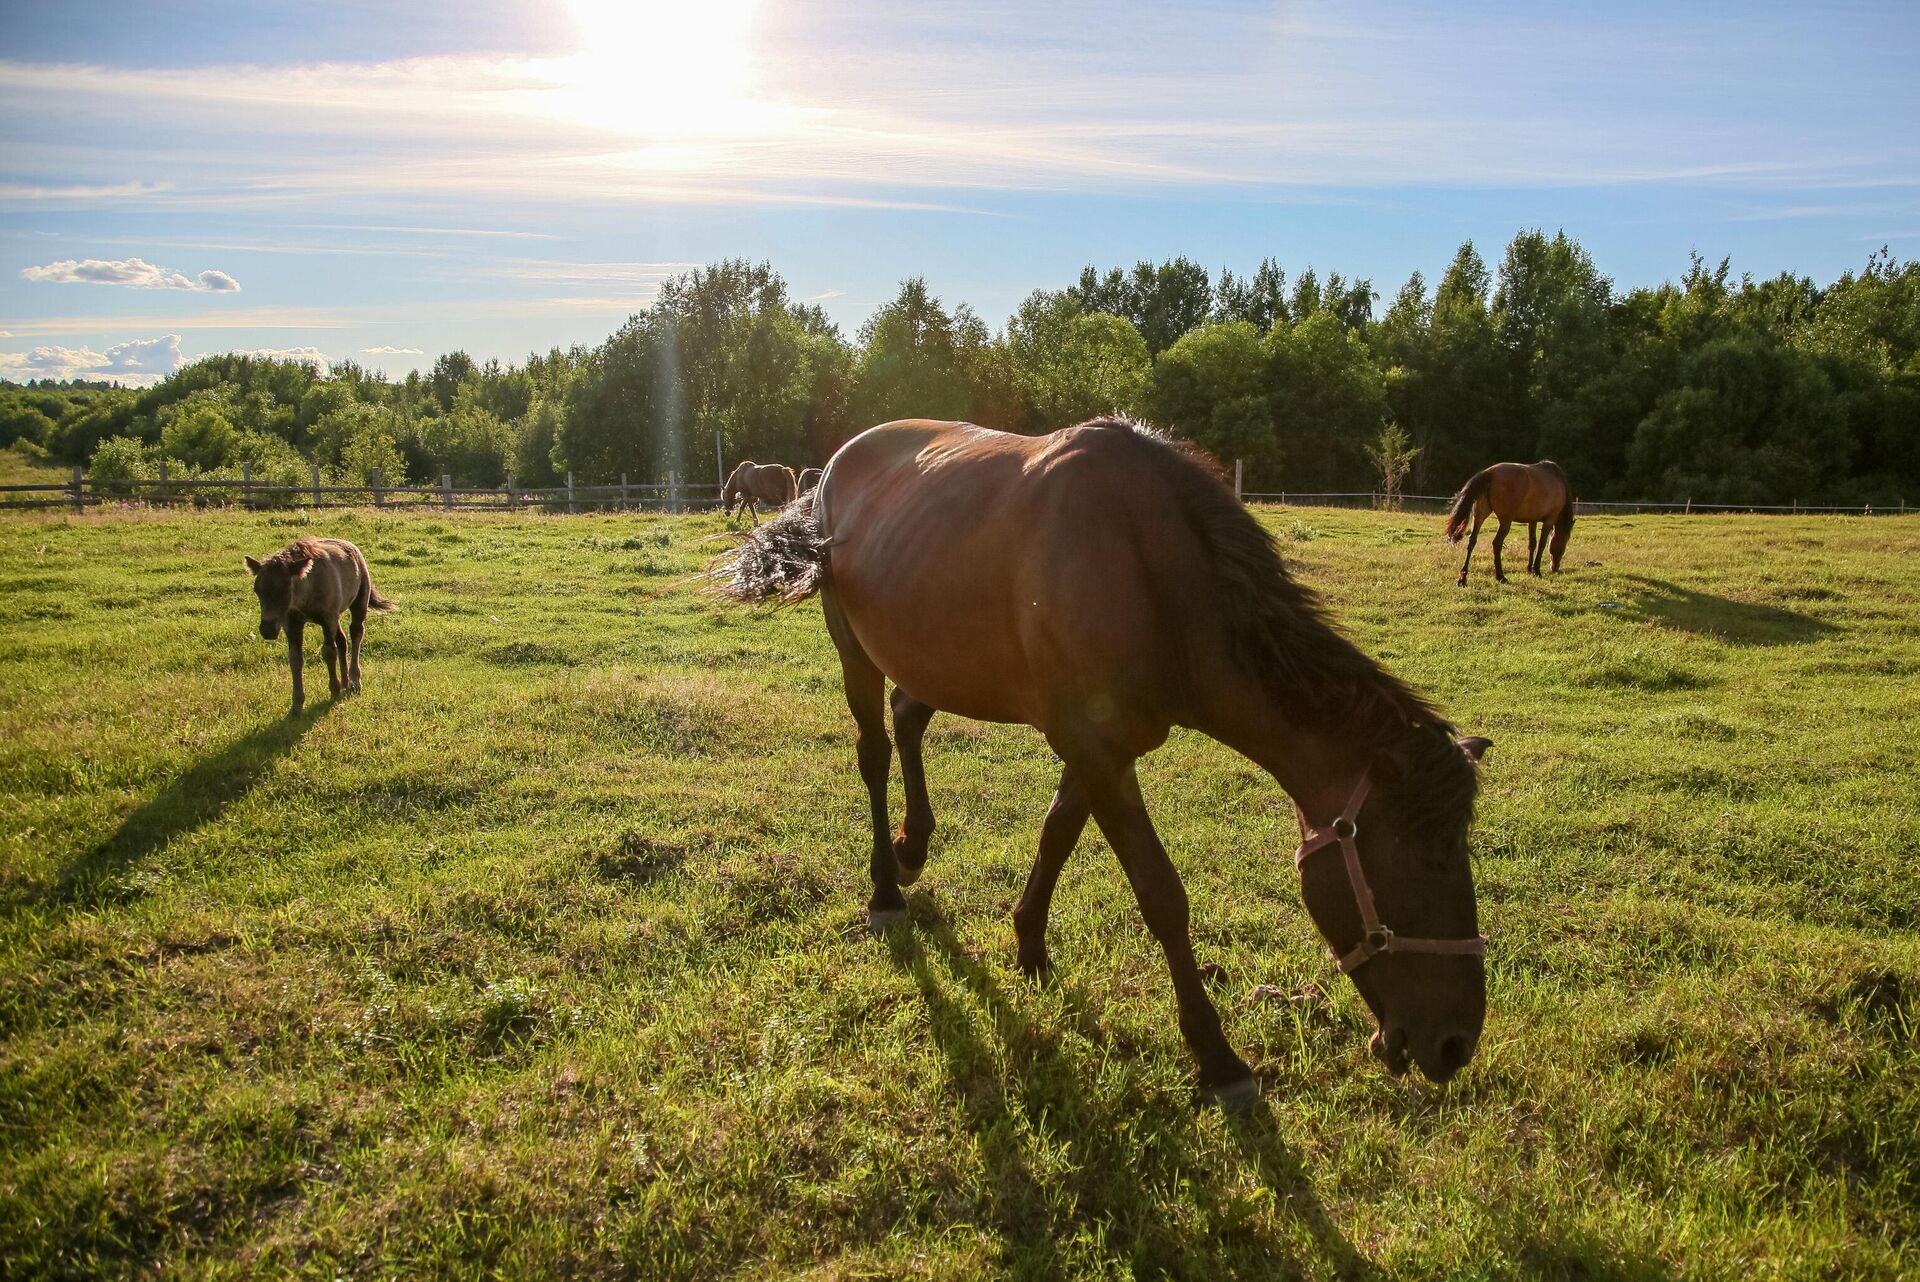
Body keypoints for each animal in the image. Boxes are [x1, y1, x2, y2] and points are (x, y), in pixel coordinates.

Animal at [247, 537, 397, 717]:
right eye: (257, 590)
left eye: (285, 589)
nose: (267, 630)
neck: (307, 590)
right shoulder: (292, 623)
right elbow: (295, 658)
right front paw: (297, 704)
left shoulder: (327, 619)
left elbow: (329, 652)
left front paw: (334, 690)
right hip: (336, 617)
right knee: (342, 640)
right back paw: (345, 681)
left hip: (358, 602)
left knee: (356, 633)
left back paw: (354, 682)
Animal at [725, 418, 1489, 1105]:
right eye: (1428, 861)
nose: (1457, 1043)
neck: (1152, 577)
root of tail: (834, 466)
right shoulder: (1094, 748)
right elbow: (1162, 896)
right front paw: (1216, 1056)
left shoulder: (1096, 746)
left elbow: (1057, 834)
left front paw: (1029, 946)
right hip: (853, 647)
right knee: (876, 753)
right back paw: (887, 884)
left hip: (936, 655)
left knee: (909, 717)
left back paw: (915, 847)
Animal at [1443, 460, 1574, 587]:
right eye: (1564, 545)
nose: (1555, 568)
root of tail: (1489, 473)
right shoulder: (1549, 520)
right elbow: (1541, 545)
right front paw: (1536, 570)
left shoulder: (1532, 520)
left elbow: (1532, 544)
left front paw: (1529, 569)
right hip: (1505, 521)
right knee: (1497, 543)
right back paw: (1500, 576)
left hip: (1479, 518)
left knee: (1472, 541)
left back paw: (1463, 578)